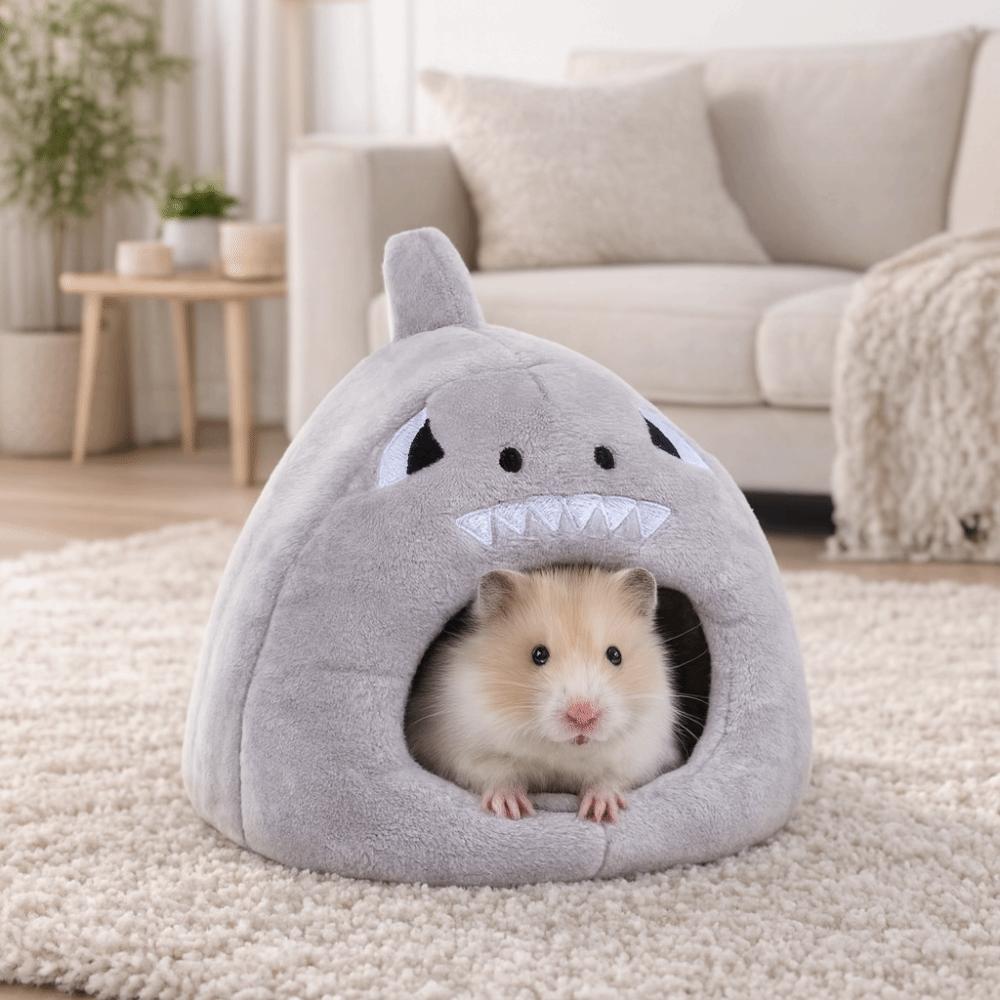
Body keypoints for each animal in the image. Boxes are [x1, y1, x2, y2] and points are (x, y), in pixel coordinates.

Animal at [405, 565, 682, 823]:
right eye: (538, 654)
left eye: (615, 655)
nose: (583, 716)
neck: (562, 749)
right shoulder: (461, 749)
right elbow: (497, 773)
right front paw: (512, 809)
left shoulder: (641, 756)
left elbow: (610, 778)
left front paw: (600, 810)